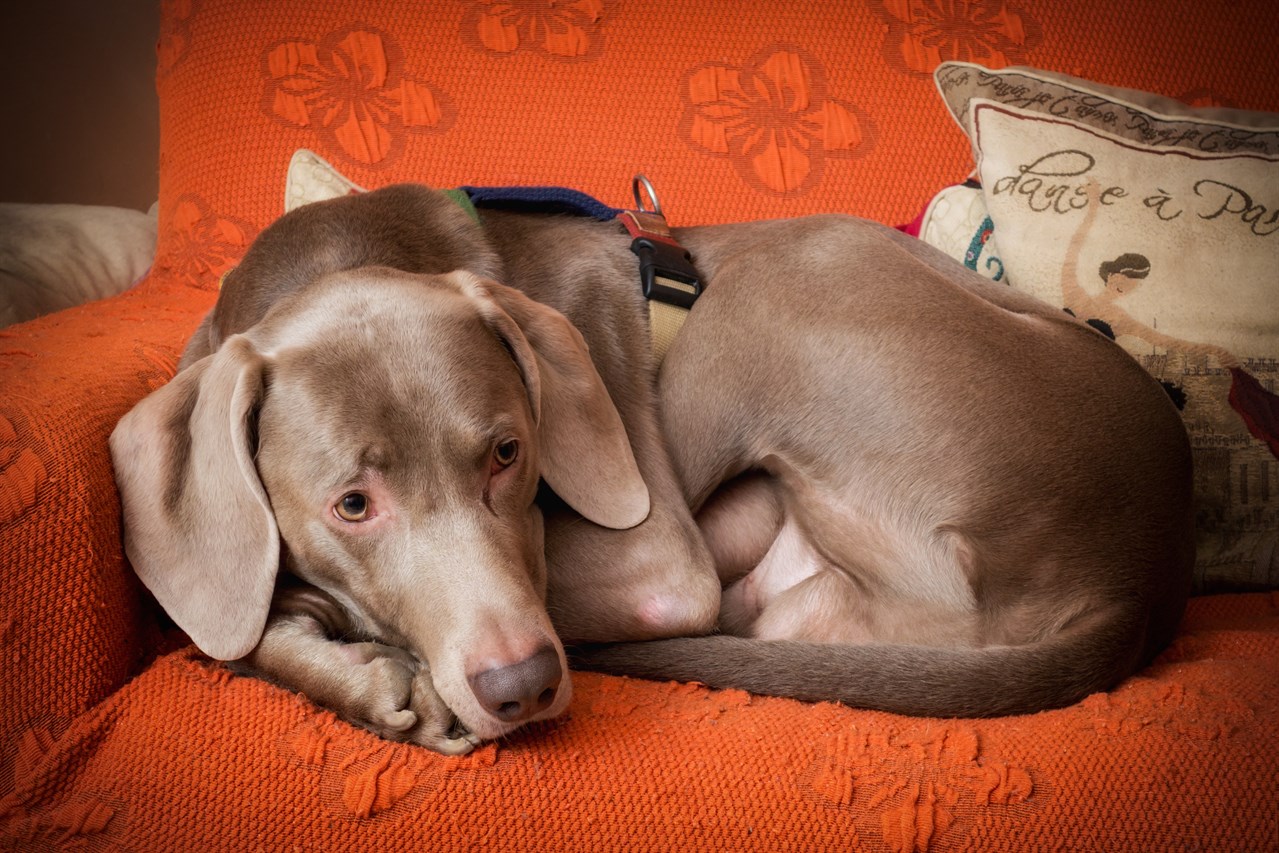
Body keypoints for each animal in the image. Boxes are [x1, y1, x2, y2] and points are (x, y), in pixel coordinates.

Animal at [107, 185, 1186, 751]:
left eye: (509, 453)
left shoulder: (647, 562)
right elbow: (234, 623)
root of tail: (1142, 574)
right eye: (352, 504)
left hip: (783, 284)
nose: (523, 683)